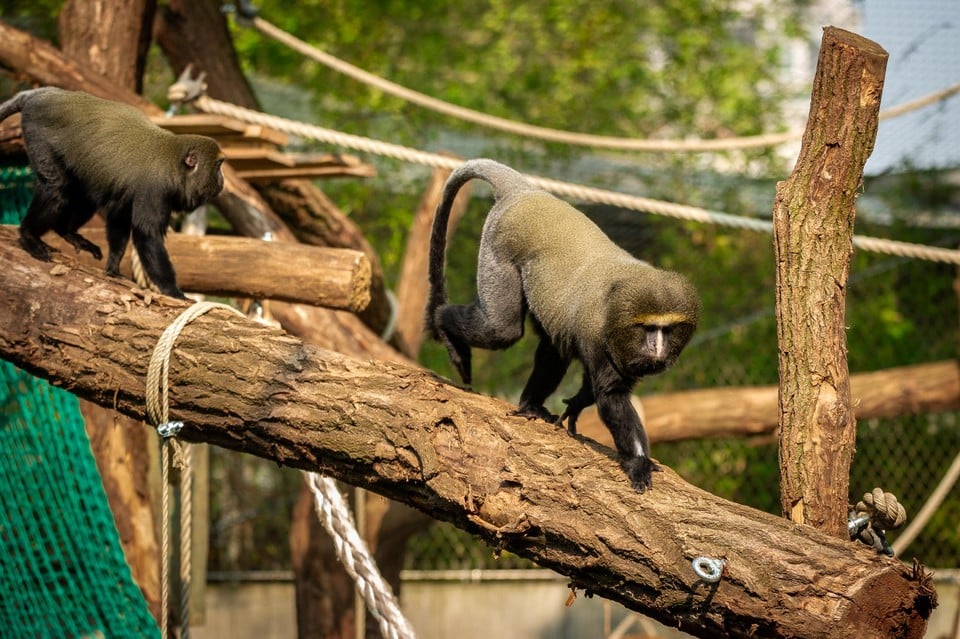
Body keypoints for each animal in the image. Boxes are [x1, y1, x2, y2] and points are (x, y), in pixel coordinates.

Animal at [0, 85, 225, 302]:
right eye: (219, 166)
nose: (222, 180)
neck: (173, 162)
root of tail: (42, 94)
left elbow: (119, 216)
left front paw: (113, 268)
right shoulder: (154, 189)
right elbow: (146, 235)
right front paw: (173, 291)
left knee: (84, 195)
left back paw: (66, 231)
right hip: (38, 136)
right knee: (56, 190)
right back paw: (29, 235)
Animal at [426, 159, 696, 490]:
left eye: (667, 330)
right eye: (648, 329)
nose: (657, 347)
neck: (619, 302)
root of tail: (524, 190)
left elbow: (590, 385)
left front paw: (576, 404)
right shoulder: (598, 336)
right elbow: (611, 396)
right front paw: (638, 462)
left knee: (553, 351)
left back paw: (530, 404)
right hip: (498, 249)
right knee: (501, 329)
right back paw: (444, 324)